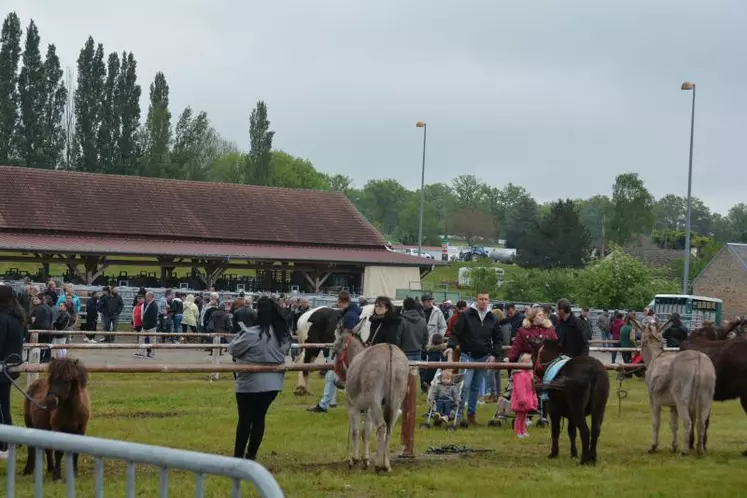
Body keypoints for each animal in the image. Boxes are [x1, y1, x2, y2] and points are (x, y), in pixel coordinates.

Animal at [336, 328, 412, 472]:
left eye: (335, 348)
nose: (338, 381)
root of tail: (389, 350)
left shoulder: (352, 406)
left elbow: (355, 432)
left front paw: (354, 460)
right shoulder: (368, 409)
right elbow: (366, 432)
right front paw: (365, 460)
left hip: (375, 398)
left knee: (382, 426)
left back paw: (378, 465)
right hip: (396, 399)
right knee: (389, 427)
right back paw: (386, 464)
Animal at [532, 336, 608, 464]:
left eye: (532, 357)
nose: (534, 379)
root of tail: (594, 371)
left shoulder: (554, 411)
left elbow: (556, 431)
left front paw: (554, 453)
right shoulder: (570, 414)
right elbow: (571, 432)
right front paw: (573, 453)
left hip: (578, 409)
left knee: (585, 431)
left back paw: (584, 459)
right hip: (599, 408)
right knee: (595, 430)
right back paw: (592, 458)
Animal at [636, 320, 720, 456]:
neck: (656, 356)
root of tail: (698, 357)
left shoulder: (654, 401)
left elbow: (656, 423)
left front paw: (653, 446)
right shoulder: (673, 405)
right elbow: (673, 425)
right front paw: (674, 446)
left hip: (682, 400)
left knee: (687, 422)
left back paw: (685, 451)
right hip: (706, 398)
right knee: (701, 424)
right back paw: (700, 450)